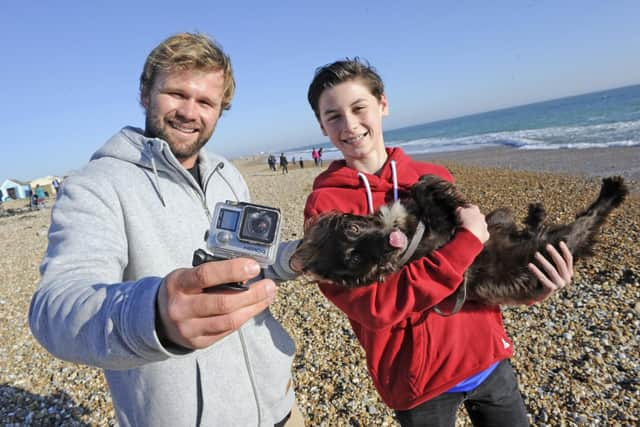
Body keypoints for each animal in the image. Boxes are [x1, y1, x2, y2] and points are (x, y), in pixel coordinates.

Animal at [292, 176, 628, 306]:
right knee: (588, 218)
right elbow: (428, 191)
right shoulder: (444, 231)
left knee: (518, 224)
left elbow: (422, 188)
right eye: (355, 259)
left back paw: (535, 212)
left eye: (353, 229)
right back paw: (612, 191)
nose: (390, 243)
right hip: (559, 240)